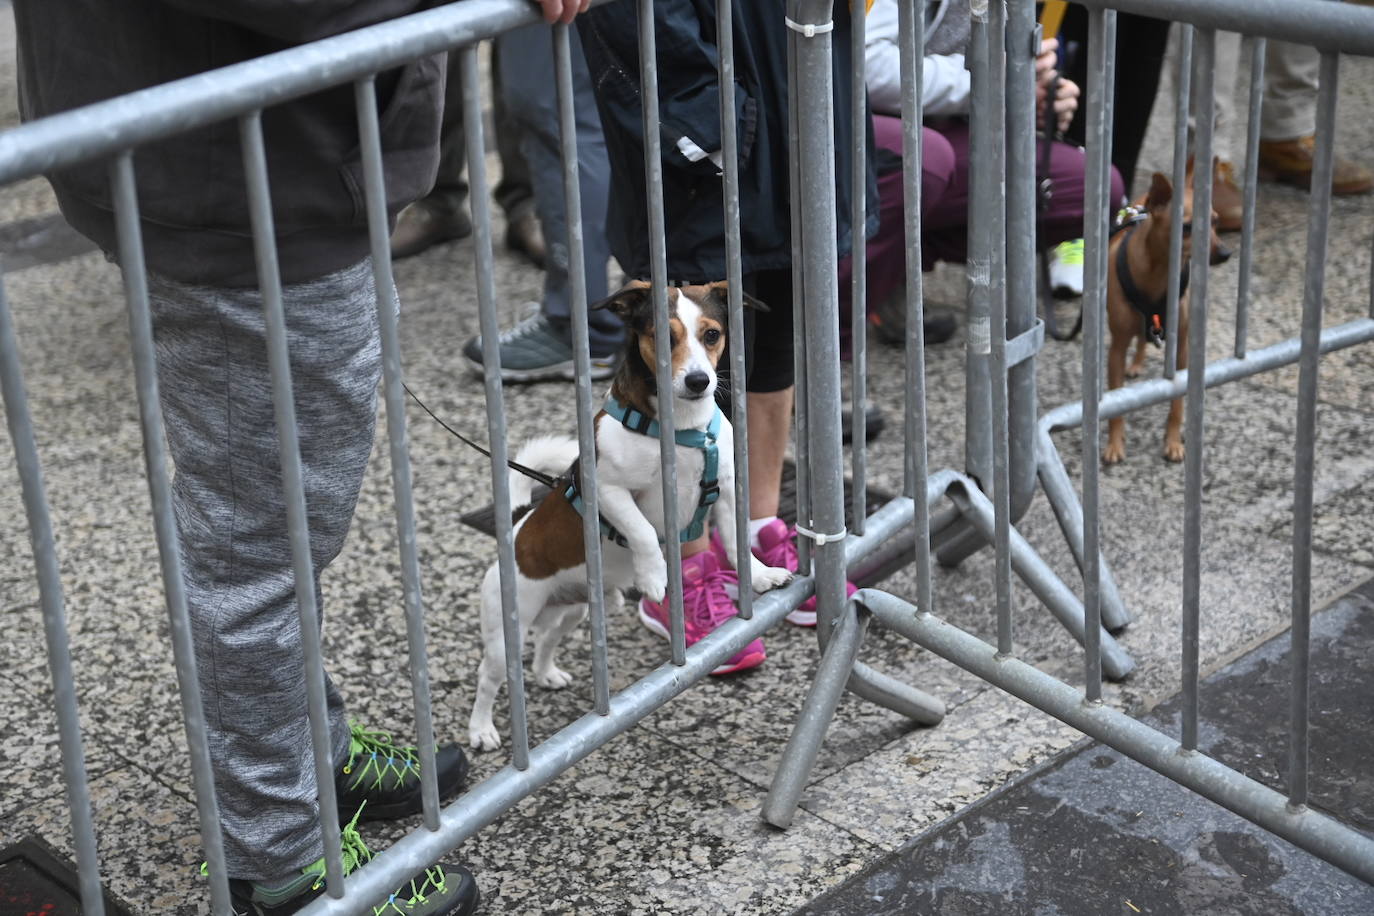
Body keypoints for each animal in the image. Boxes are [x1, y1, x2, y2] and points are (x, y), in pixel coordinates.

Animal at [467, 281, 796, 752]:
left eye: (712, 334)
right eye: (664, 336)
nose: (699, 380)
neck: (679, 429)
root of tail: (517, 526)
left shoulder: (728, 488)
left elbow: (736, 541)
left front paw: (762, 575)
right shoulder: (608, 489)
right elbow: (640, 531)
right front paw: (654, 578)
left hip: (572, 611)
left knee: (547, 639)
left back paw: (547, 673)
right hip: (504, 632)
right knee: (489, 678)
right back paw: (481, 730)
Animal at [1104, 162, 1236, 466]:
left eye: (1215, 221)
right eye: (1187, 227)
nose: (1225, 253)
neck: (1158, 273)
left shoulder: (1183, 349)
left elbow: (1177, 403)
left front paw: (1173, 441)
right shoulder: (1116, 348)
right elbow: (1116, 404)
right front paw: (1115, 443)